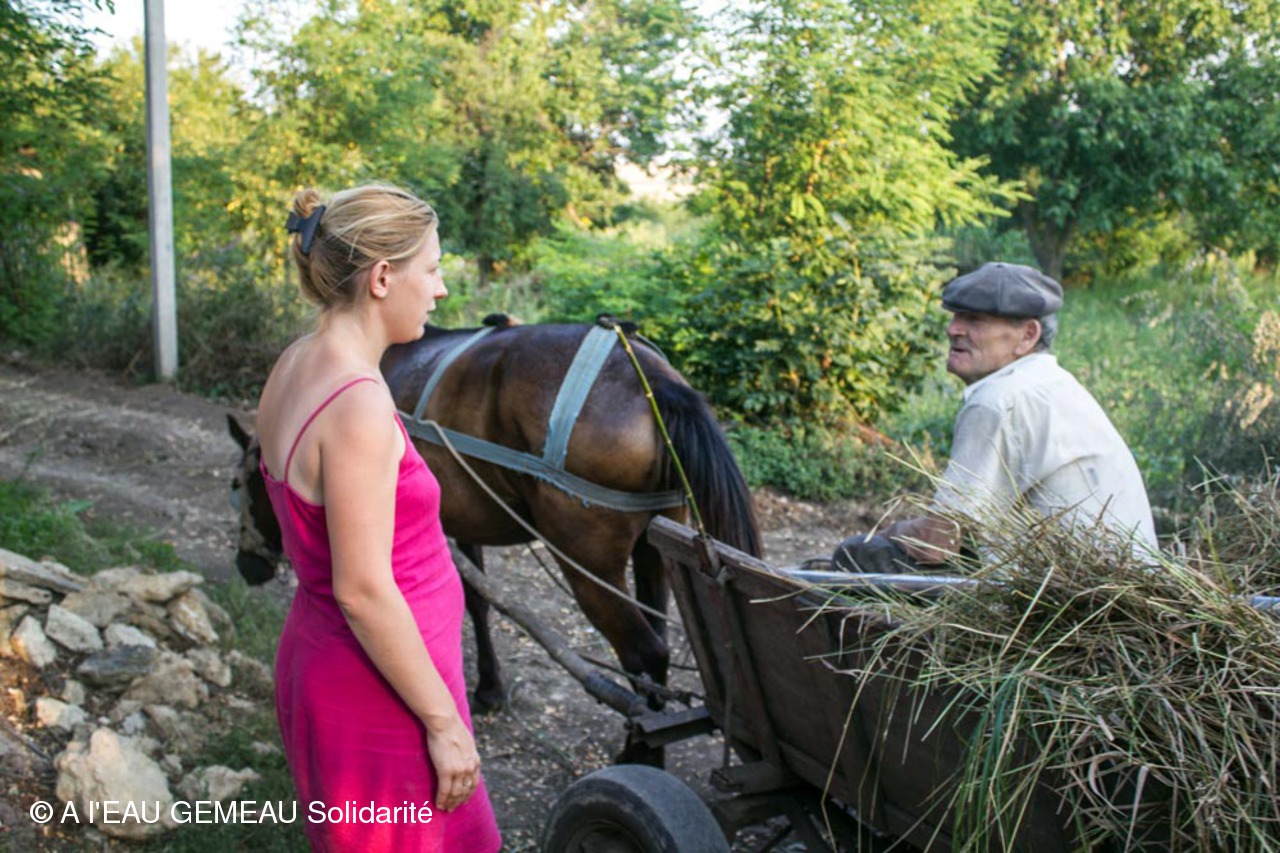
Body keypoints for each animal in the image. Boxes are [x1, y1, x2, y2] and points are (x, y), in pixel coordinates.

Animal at [227, 316, 762, 755]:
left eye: (240, 484)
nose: (246, 567)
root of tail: (654, 383)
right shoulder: (465, 519)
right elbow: (479, 602)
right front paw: (490, 686)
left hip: (587, 560)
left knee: (644, 652)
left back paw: (639, 754)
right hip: (657, 544)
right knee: (656, 644)